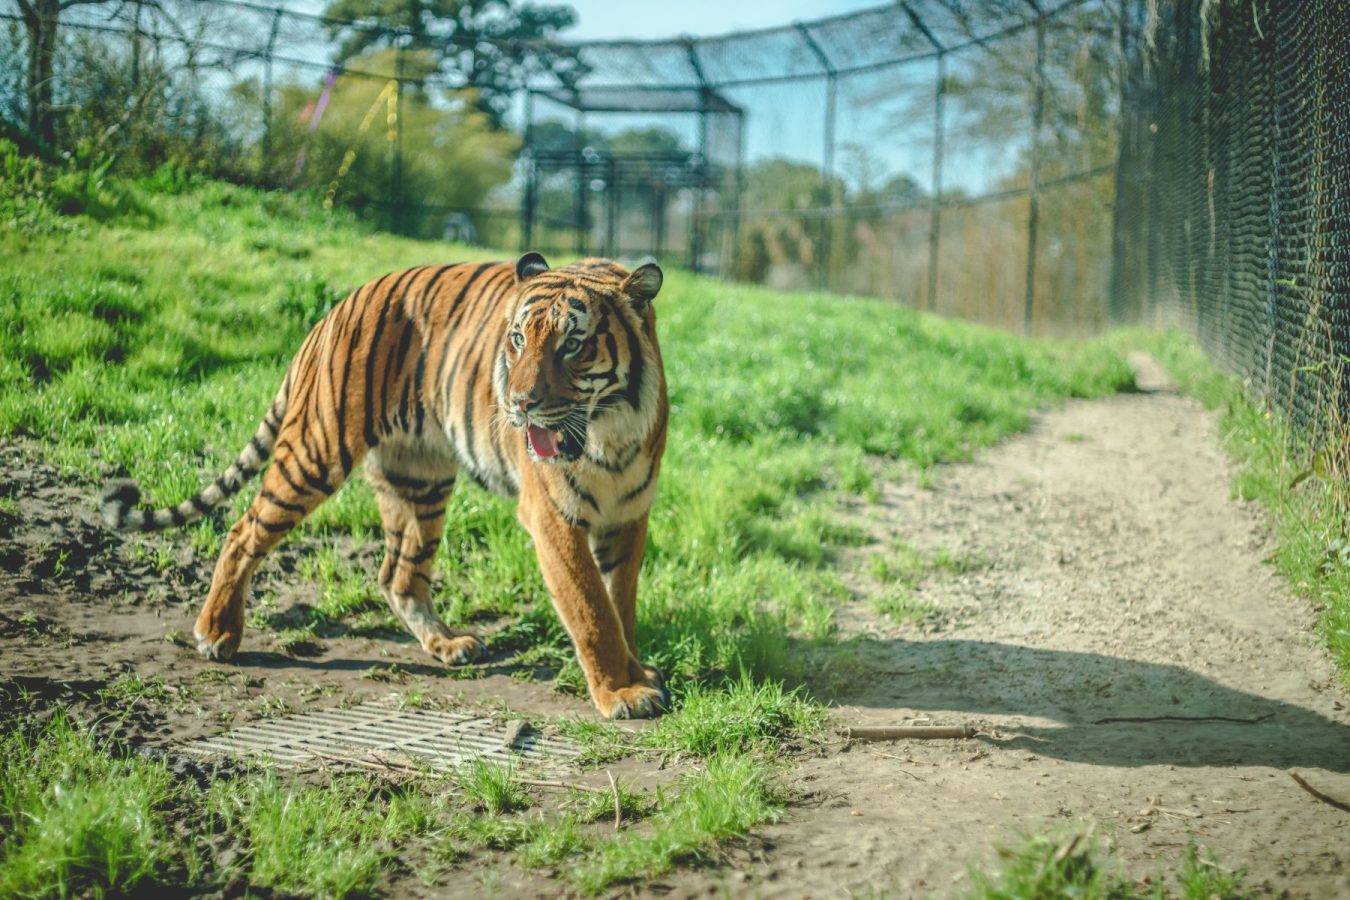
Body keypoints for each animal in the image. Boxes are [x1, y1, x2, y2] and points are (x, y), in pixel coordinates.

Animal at [99, 256, 669, 723]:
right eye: (518, 340)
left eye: (573, 344)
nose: (519, 403)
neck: (608, 434)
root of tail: (335, 309)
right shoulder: (552, 517)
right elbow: (591, 609)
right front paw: (621, 693)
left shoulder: (629, 515)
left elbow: (621, 605)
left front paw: (637, 671)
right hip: (315, 452)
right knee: (243, 531)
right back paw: (216, 632)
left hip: (420, 481)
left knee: (398, 574)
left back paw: (447, 644)